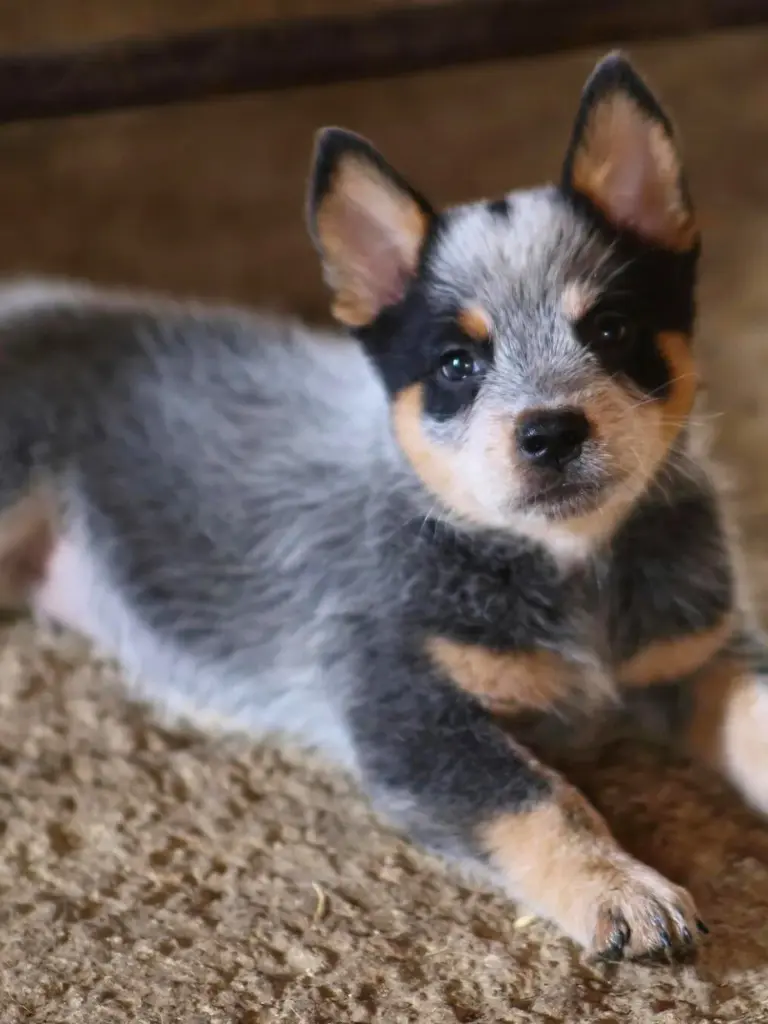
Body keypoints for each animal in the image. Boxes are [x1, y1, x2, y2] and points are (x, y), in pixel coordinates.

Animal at [0, 51, 765, 958]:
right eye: (457, 364)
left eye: (611, 329)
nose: (549, 432)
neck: (571, 566)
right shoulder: (410, 716)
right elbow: (544, 801)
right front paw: (624, 888)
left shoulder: (699, 654)